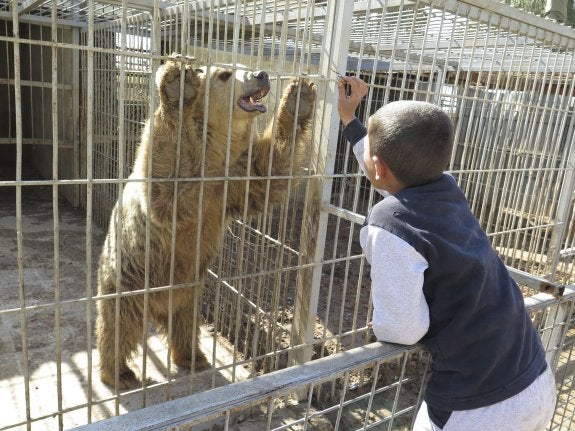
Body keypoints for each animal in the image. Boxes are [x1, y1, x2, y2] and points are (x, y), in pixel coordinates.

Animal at [96, 53, 318, 388]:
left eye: (243, 67)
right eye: (225, 74)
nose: (262, 74)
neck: (214, 156)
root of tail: (156, 306)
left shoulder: (233, 181)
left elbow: (271, 171)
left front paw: (299, 98)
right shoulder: (185, 187)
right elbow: (164, 175)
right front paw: (179, 83)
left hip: (189, 292)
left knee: (185, 325)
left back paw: (193, 357)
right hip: (127, 279)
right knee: (118, 326)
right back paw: (119, 373)